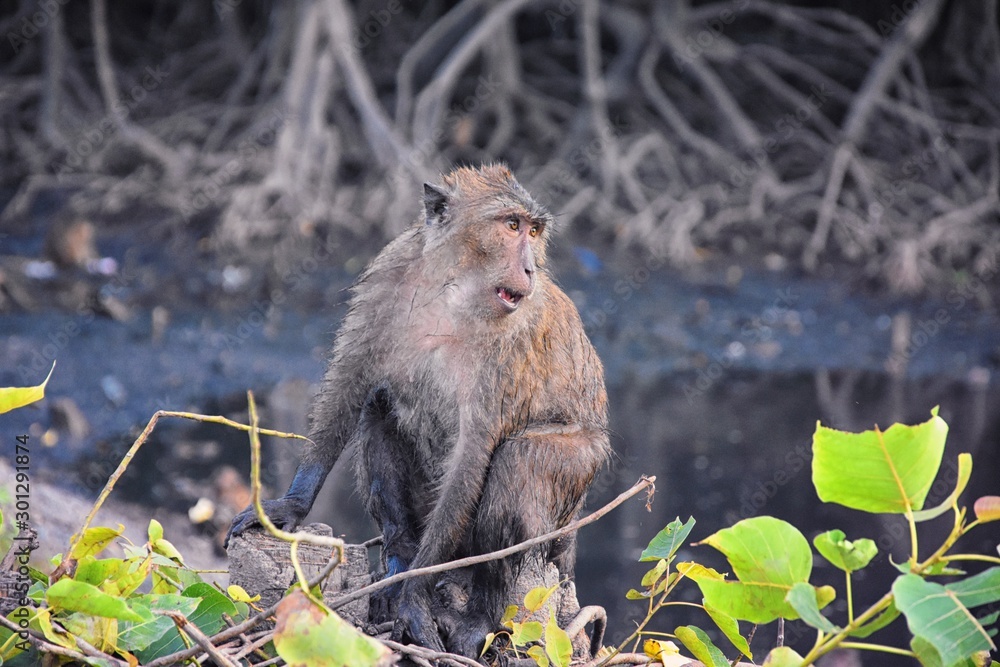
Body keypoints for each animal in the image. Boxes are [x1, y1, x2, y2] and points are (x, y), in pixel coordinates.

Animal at [227, 164, 610, 659]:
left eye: (534, 230)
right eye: (511, 225)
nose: (529, 267)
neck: (453, 289)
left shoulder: (509, 344)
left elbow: (472, 452)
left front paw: (415, 597)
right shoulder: (386, 278)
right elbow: (351, 383)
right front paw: (291, 505)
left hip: (570, 494)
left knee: (521, 461)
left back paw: (477, 613)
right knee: (380, 409)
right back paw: (398, 558)